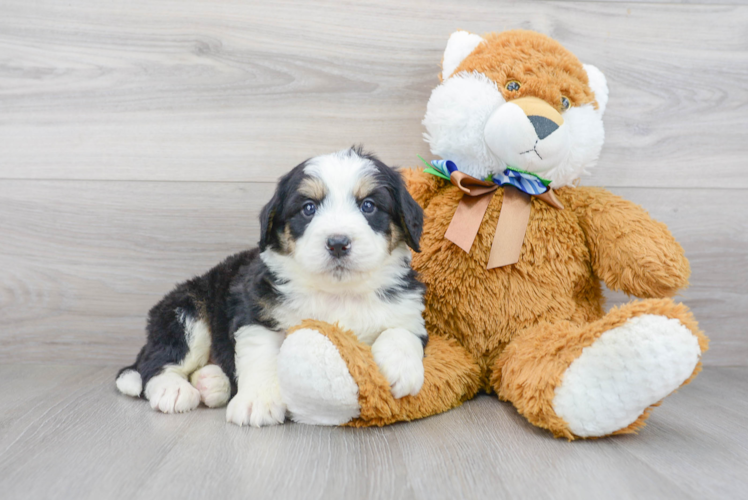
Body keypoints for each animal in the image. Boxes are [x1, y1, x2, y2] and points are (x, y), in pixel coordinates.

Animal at [113, 147, 424, 426]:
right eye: (308, 208)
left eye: (368, 205)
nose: (338, 243)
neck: (337, 293)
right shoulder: (256, 311)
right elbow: (261, 356)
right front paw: (257, 402)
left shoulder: (410, 308)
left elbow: (402, 331)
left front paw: (401, 370)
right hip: (187, 312)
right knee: (155, 364)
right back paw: (174, 389)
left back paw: (211, 382)